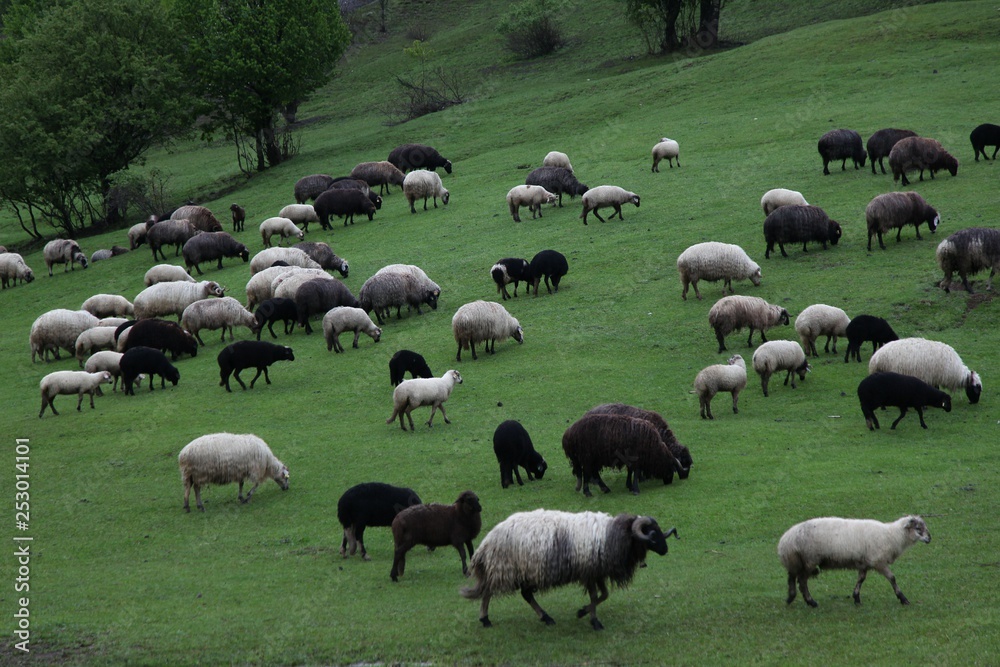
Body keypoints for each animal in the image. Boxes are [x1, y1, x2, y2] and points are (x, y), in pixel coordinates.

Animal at [462, 510, 677, 630]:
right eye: (652, 533)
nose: (665, 550)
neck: (613, 535)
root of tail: (488, 540)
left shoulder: (596, 572)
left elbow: (604, 595)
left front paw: (582, 612)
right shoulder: (589, 572)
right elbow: (595, 596)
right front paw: (594, 622)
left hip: (524, 572)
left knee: (526, 594)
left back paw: (546, 618)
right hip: (503, 568)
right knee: (488, 591)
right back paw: (485, 619)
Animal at [778, 515, 930, 607]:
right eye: (918, 528)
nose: (930, 538)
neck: (892, 535)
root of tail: (786, 540)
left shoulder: (864, 563)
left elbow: (861, 579)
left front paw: (856, 598)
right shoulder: (878, 562)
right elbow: (892, 578)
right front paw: (903, 598)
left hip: (796, 561)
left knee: (791, 577)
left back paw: (790, 597)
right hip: (809, 560)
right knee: (802, 582)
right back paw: (811, 602)